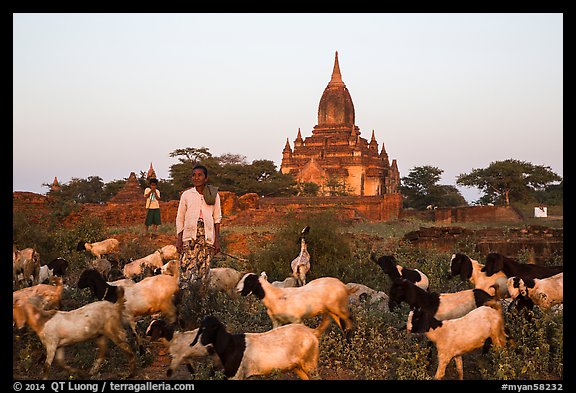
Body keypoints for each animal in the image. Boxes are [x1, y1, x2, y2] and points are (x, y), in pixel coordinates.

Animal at [190, 312, 328, 380]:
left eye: (214, 327)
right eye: (202, 328)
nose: (202, 341)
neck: (230, 345)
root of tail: (312, 332)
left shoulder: (236, 375)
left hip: (310, 364)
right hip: (298, 367)